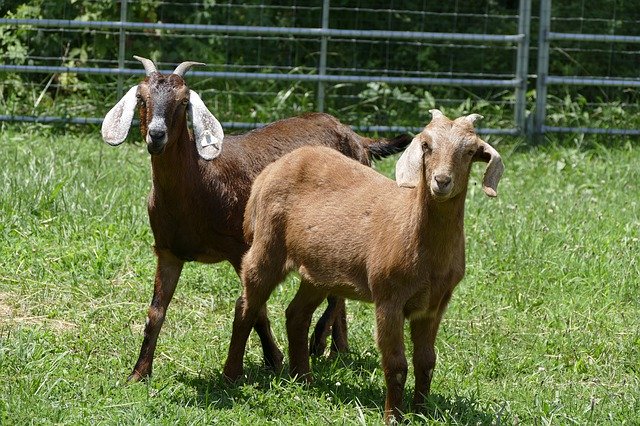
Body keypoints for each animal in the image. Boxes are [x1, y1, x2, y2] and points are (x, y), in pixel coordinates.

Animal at [100, 55, 410, 382]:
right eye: (141, 97)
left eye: (184, 101)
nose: (156, 135)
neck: (200, 181)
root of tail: (357, 138)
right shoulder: (169, 251)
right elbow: (156, 312)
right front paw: (139, 373)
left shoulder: (241, 248)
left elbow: (257, 308)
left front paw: (273, 359)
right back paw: (337, 347)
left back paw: (321, 341)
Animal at [222, 109, 502, 422]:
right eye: (426, 145)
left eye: (470, 151)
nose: (441, 181)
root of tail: (269, 172)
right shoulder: (389, 298)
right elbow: (396, 364)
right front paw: (393, 417)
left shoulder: (434, 305)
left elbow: (426, 361)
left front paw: (421, 412)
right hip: (267, 246)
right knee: (246, 306)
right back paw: (231, 376)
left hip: (318, 271)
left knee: (296, 314)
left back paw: (303, 379)